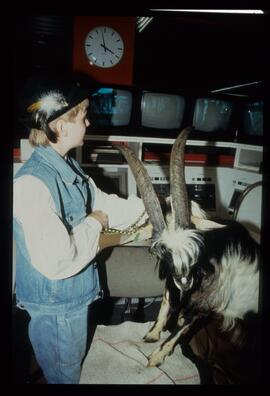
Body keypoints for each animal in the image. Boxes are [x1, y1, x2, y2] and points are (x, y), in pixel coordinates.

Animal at [117, 128, 260, 370]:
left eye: (195, 249)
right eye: (163, 253)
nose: (185, 281)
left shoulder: (206, 303)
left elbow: (182, 326)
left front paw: (155, 357)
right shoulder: (171, 279)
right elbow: (166, 302)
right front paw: (152, 334)